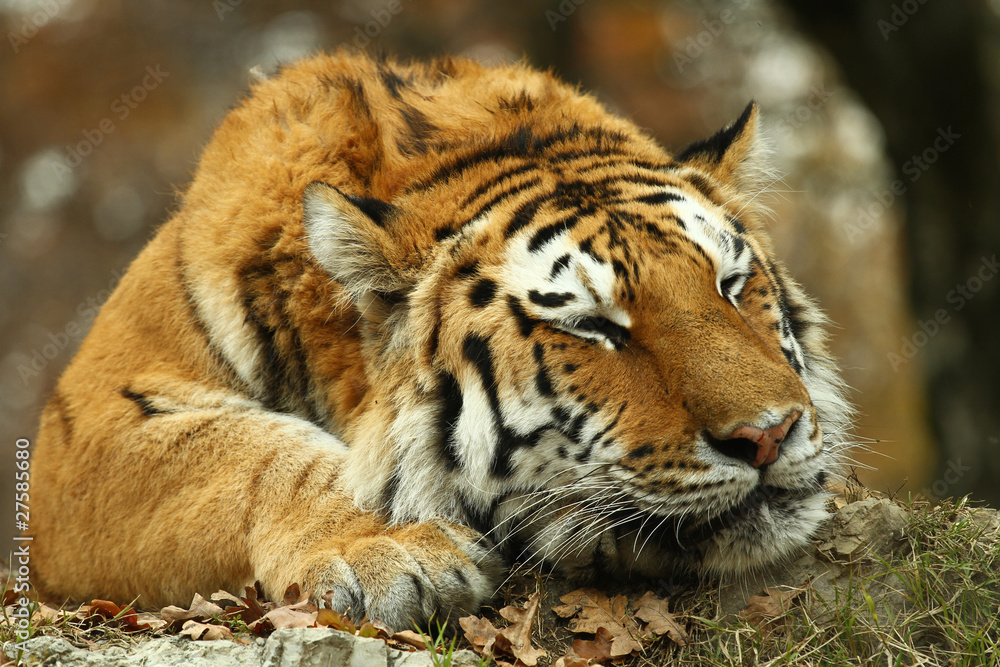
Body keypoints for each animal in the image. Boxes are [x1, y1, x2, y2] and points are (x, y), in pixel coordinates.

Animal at [29, 52, 852, 630]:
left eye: (731, 284)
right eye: (592, 326)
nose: (769, 436)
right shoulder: (87, 431)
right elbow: (249, 454)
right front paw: (388, 550)